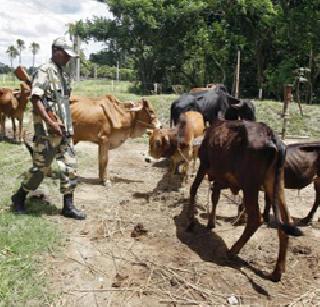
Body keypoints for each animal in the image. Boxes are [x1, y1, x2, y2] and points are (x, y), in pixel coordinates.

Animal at [189, 121, 304, 284]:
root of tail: (272, 135)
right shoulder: (220, 178)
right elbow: (215, 196)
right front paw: (211, 222)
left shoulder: (204, 164)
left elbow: (194, 189)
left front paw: (190, 221)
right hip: (275, 183)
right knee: (286, 221)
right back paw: (276, 272)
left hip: (250, 185)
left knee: (256, 219)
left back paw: (232, 251)